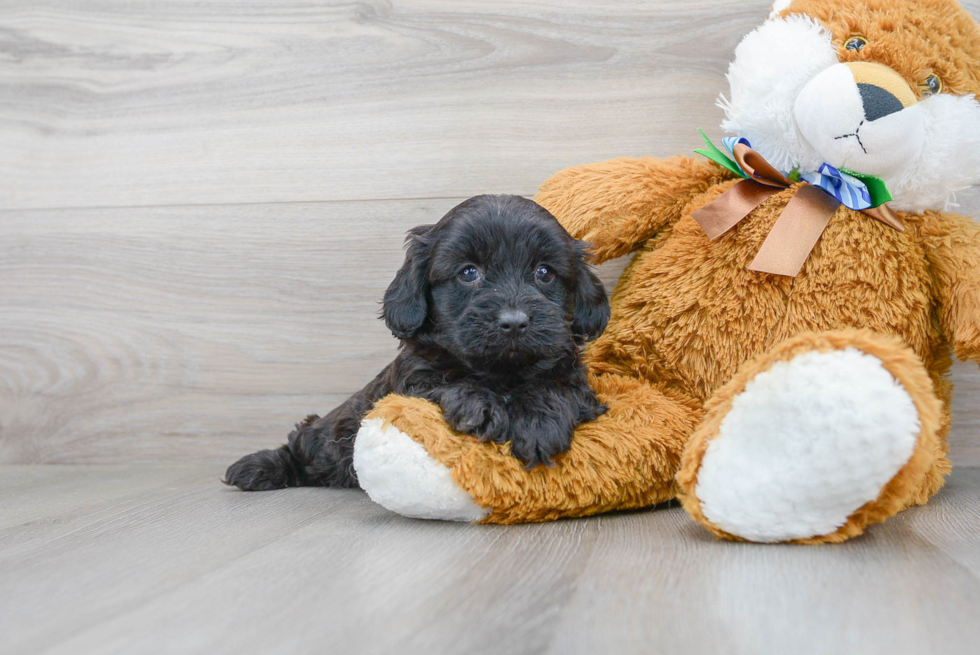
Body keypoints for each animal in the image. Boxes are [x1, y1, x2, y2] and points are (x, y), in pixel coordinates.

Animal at [226, 195, 608, 492]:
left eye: (544, 273)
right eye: (468, 273)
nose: (513, 321)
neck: (501, 371)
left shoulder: (575, 379)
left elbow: (557, 389)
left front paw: (538, 423)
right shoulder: (414, 380)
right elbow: (445, 381)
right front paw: (481, 406)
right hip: (328, 435)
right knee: (304, 443)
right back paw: (257, 468)